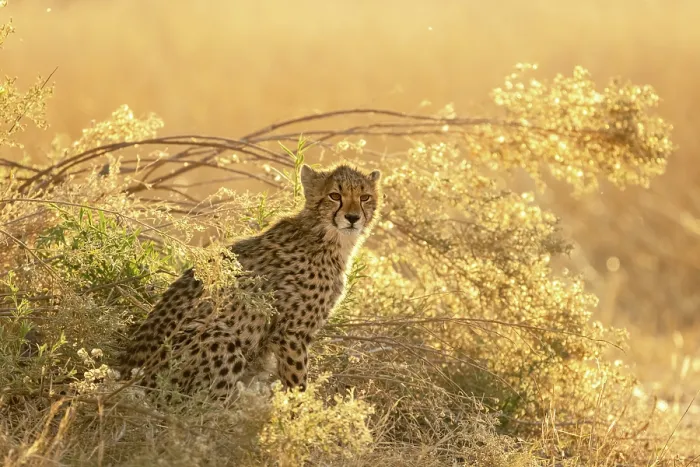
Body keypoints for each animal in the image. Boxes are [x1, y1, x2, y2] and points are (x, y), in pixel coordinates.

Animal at [117, 163, 382, 399]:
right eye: (334, 195)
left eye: (365, 197)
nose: (352, 217)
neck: (326, 236)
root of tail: (128, 372)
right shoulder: (291, 333)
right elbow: (297, 384)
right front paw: (300, 414)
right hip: (218, 337)